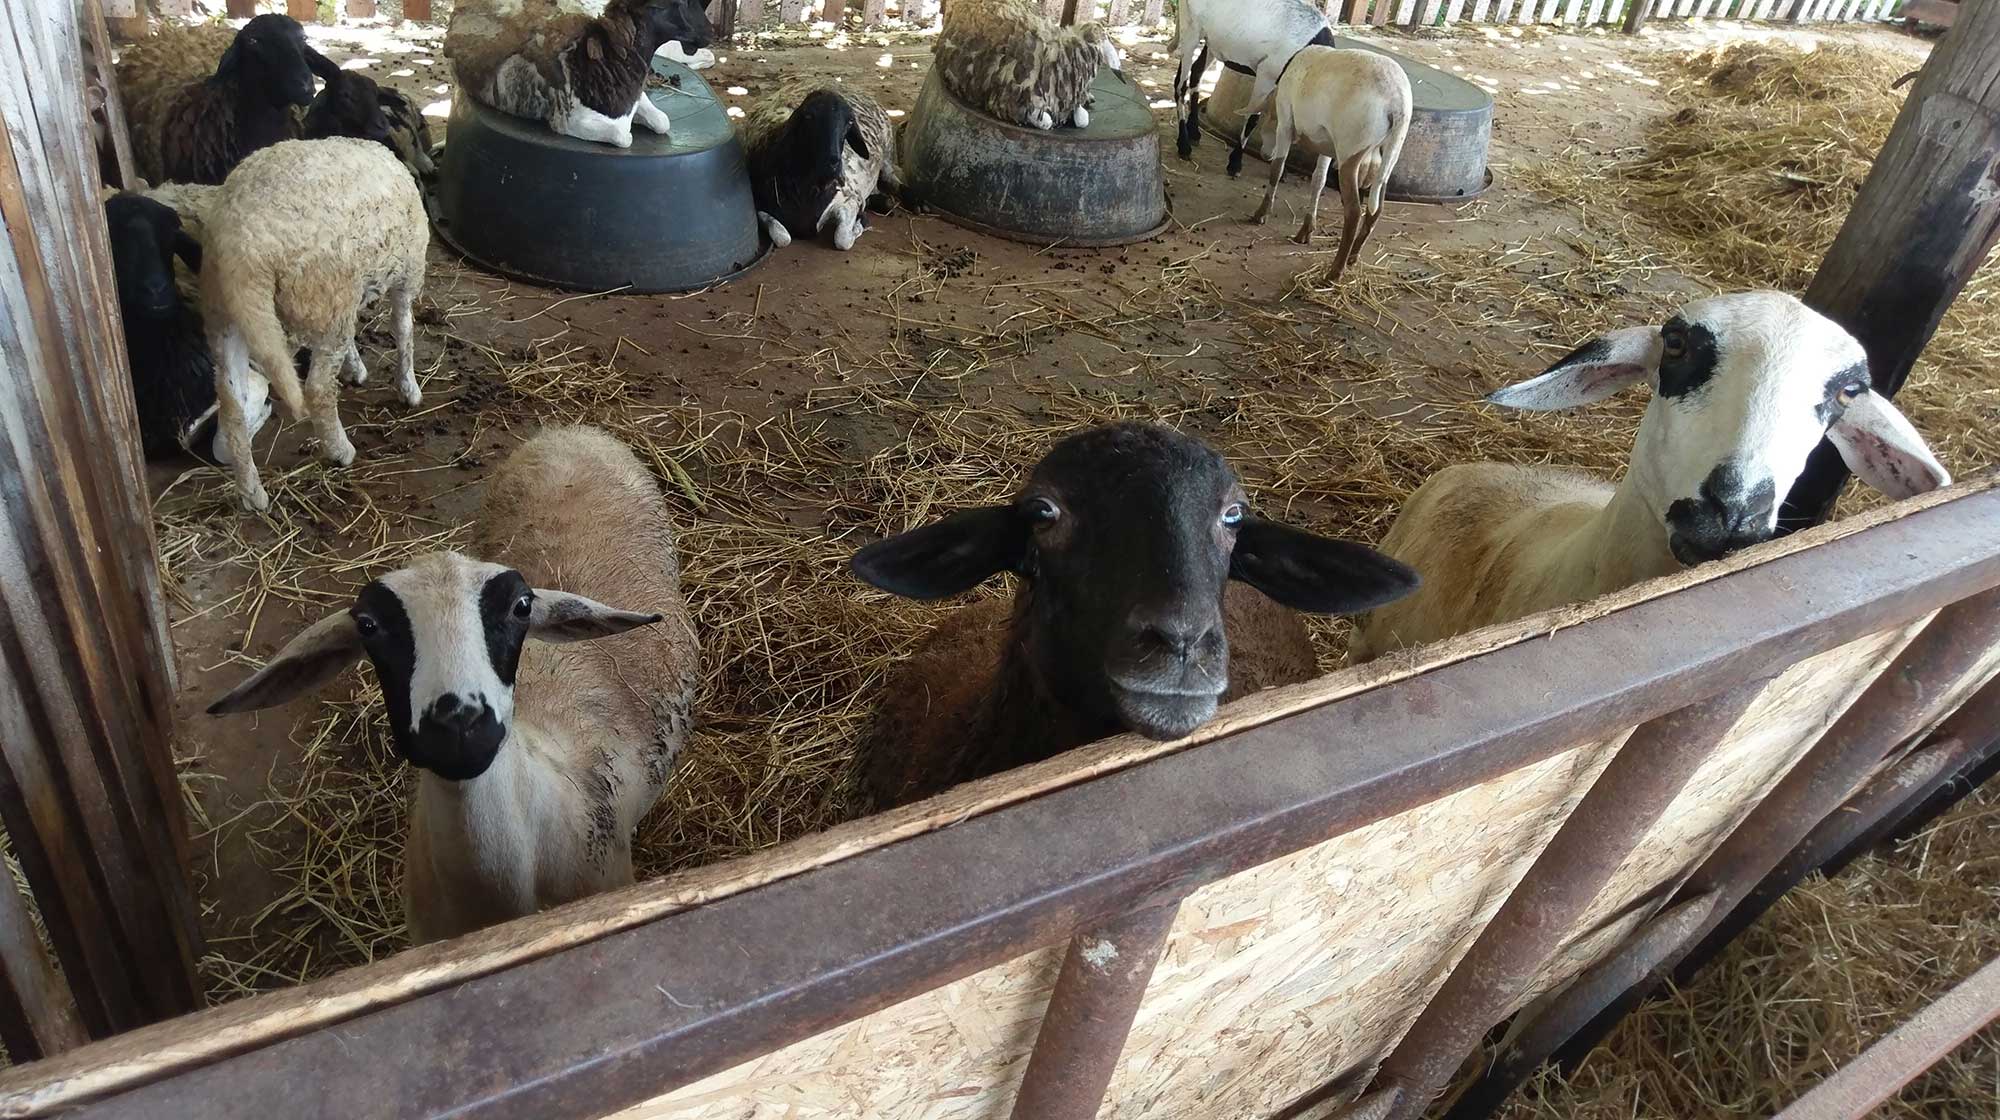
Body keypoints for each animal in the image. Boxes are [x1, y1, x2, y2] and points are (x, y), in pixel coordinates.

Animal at [201, 138, 430, 512]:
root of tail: (243, 249)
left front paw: (356, 368)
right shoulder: (407, 273)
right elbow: (404, 330)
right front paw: (409, 388)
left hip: (228, 319)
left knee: (232, 402)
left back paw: (252, 493)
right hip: (324, 297)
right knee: (318, 390)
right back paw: (341, 450)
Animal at [443, 0, 713, 148]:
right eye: (678, 2)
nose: (709, 33)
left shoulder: (637, 98)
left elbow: (661, 120)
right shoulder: (569, 122)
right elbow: (623, 136)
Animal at [739, 80, 900, 251]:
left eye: (850, 121)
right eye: (809, 116)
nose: (834, 164)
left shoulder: (850, 199)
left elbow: (842, 239)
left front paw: (860, 223)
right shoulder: (757, 206)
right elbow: (783, 237)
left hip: (888, 148)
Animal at [1171, 0, 1332, 175]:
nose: (1268, 155)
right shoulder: (1266, 75)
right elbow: (1253, 117)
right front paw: (1235, 163)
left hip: (1211, 41)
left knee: (1196, 72)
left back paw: (1194, 132)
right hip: (1191, 30)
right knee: (1180, 85)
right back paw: (1184, 145)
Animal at [1246, 47, 1411, 274]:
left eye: (1265, 119)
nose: (1264, 154)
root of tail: (1397, 101)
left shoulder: (1285, 123)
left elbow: (1277, 169)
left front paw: (1261, 214)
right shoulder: (1326, 146)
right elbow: (1318, 180)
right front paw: (1305, 231)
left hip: (1351, 151)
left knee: (1354, 212)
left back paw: (1334, 272)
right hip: (1389, 155)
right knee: (1376, 209)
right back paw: (1352, 257)